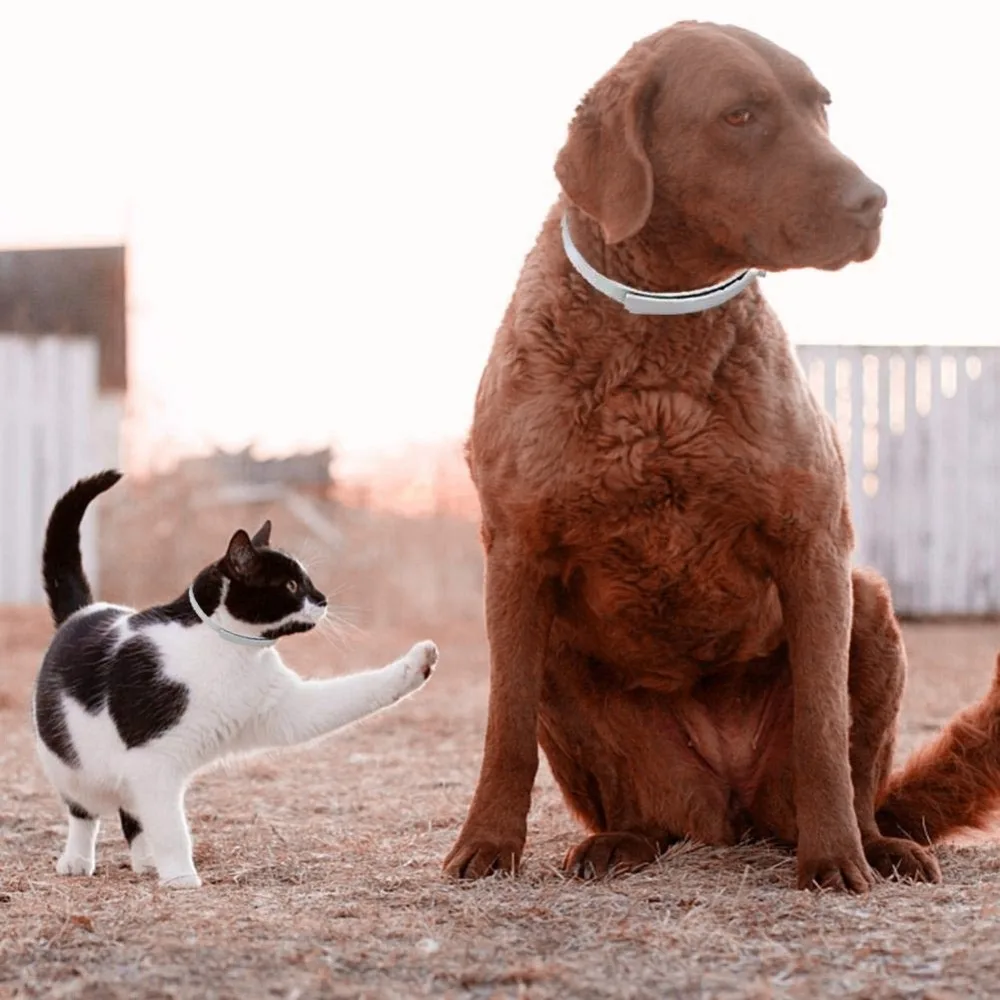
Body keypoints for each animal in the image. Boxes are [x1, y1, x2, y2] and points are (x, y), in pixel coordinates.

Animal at [32, 470, 438, 892]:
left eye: (306, 580)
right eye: (291, 586)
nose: (323, 598)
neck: (228, 651)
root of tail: (83, 611)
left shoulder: (282, 708)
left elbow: (354, 692)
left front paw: (418, 662)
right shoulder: (154, 762)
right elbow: (171, 827)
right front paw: (182, 878)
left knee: (133, 814)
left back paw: (146, 861)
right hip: (73, 764)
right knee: (85, 812)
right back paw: (77, 860)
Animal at [446, 21, 1000, 892]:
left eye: (822, 105)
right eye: (740, 115)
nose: (873, 199)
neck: (660, 356)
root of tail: (731, 810)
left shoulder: (815, 544)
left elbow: (822, 729)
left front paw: (835, 861)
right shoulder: (516, 552)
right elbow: (505, 729)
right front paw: (487, 845)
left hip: (869, 603)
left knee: (858, 778)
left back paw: (877, 845)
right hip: (574, 666)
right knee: (640, 811)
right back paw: (620, 842)